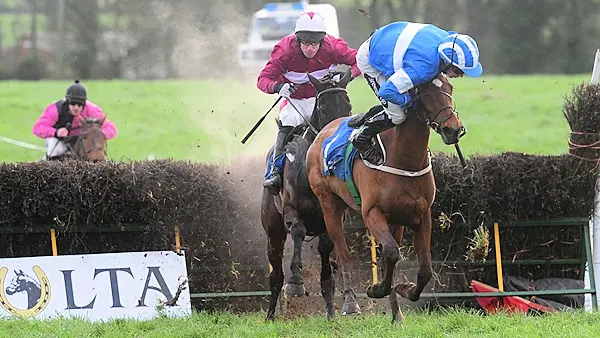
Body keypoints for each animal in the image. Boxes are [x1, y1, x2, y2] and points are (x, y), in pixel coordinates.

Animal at [260, 68, 354, 320]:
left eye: (348, 107)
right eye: (323, 109)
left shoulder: (331, 216)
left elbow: (327, 254)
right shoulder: (291, 210)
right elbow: (299, 231)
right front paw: (295, 282)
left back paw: (331, 313)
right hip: (273, 231)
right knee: (275, 275)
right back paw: (270, 316)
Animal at [308, 74, 466, 322]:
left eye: (450, 88)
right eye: (424, 93)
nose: (453, 130)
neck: (404, 158)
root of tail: (322, 133)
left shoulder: (421, 214)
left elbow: (425, 268)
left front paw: (405, 290)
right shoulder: (372, 213)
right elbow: (391, 253)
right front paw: (376, 289)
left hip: (395, 220)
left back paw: (396, 315)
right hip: (329, 204)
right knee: (343, 254)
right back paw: (351, 303)